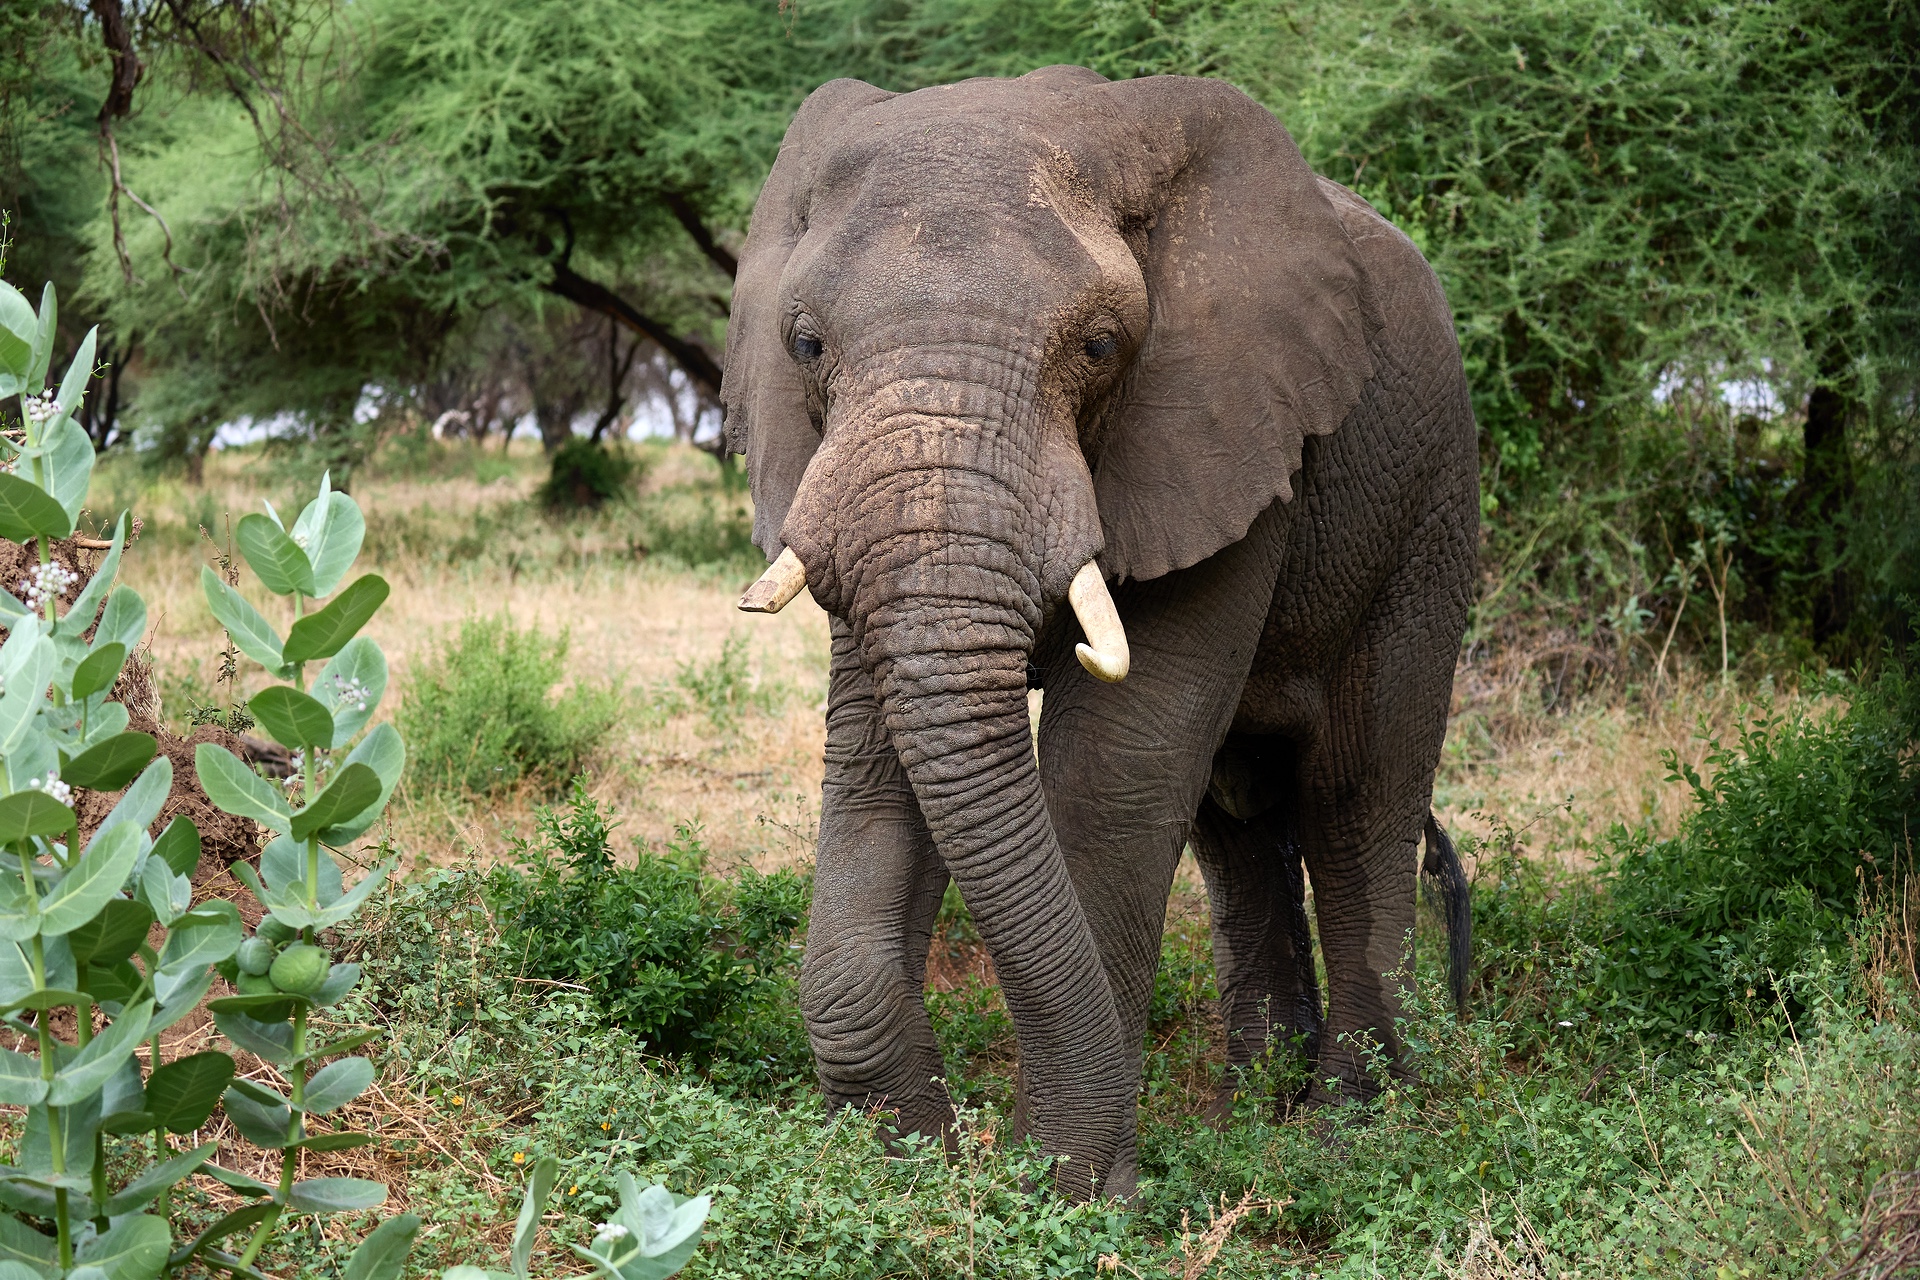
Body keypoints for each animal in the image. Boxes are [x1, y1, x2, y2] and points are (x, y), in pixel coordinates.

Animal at [723, 65, 1476, 1200]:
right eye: (805, 345)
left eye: (1100, 346)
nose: (963, 1155)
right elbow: (872, 761)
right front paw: (906, 1170)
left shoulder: (1228, 430)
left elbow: (1116, 770)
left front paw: (1076, 1197)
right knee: (1239, 821)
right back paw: (1251, 1114)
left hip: (1426, 515)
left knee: (1357, 800)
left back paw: (1344, 1139)